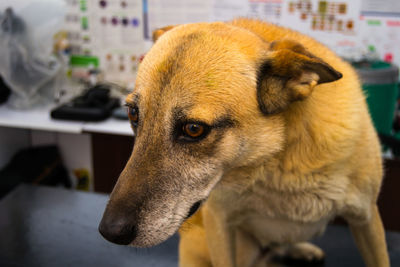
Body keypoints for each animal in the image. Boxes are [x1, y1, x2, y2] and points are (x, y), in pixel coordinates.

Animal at [98, 18, 390, 267]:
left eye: (193, 129)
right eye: (133, 114)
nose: (109, 232)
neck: (276, 161)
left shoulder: (367, 218)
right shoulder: (220, 224)